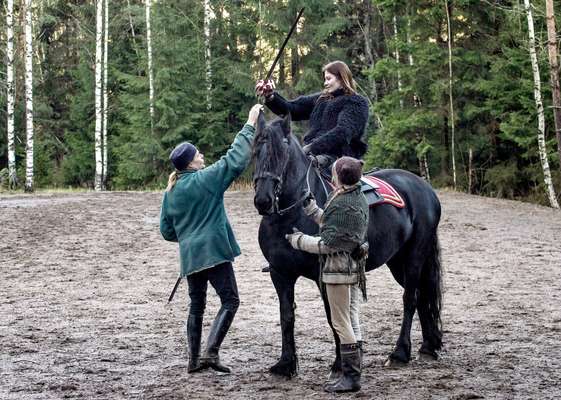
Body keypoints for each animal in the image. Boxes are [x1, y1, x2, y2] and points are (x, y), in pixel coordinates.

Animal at [253, 113, 442, 378]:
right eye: (256, 151)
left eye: (283, 152)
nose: (263, 200)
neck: (290, 217)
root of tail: (424, 188)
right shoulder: (280, 274)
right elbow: (287, 315)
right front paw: (285, 364)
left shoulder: (324, 274)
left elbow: (333, 315)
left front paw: (340, 363)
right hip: (397, 261)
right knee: (423, 296)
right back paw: (428, 346)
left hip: (415, 256)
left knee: (410, 298)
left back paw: (400, 353)